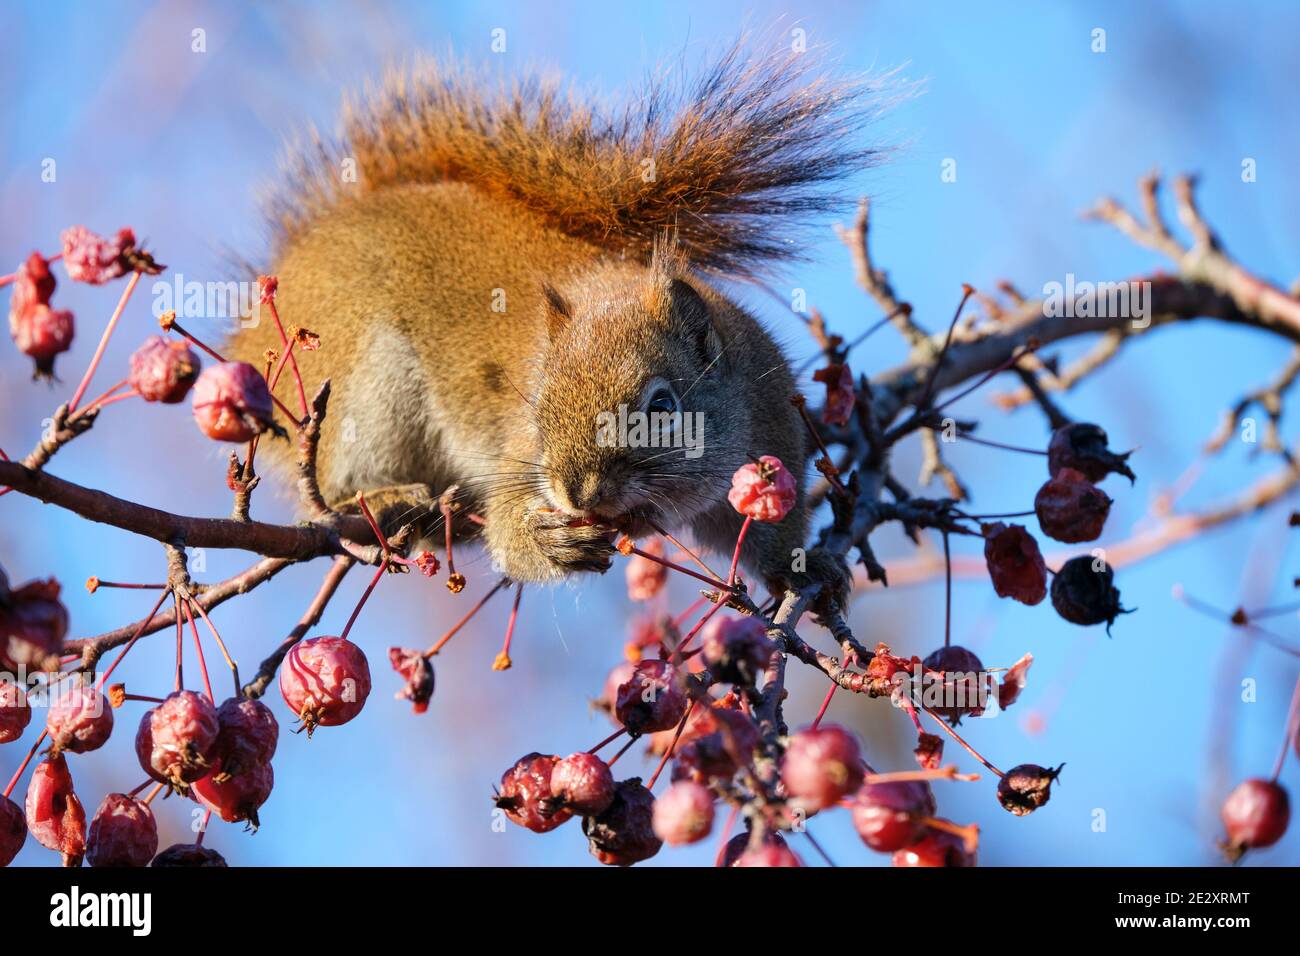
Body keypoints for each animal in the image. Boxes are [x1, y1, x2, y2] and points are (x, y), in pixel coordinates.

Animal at [230, 45, 882, 597]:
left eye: (663, 406)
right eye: (539, 403)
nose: (577, 491)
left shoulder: (773, 436)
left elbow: (772, 535)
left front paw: (805, 567)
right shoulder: (518, 457)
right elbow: (507, 525)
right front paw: (542, 541)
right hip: (363, 390)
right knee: (334, 484)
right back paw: (387, 498)